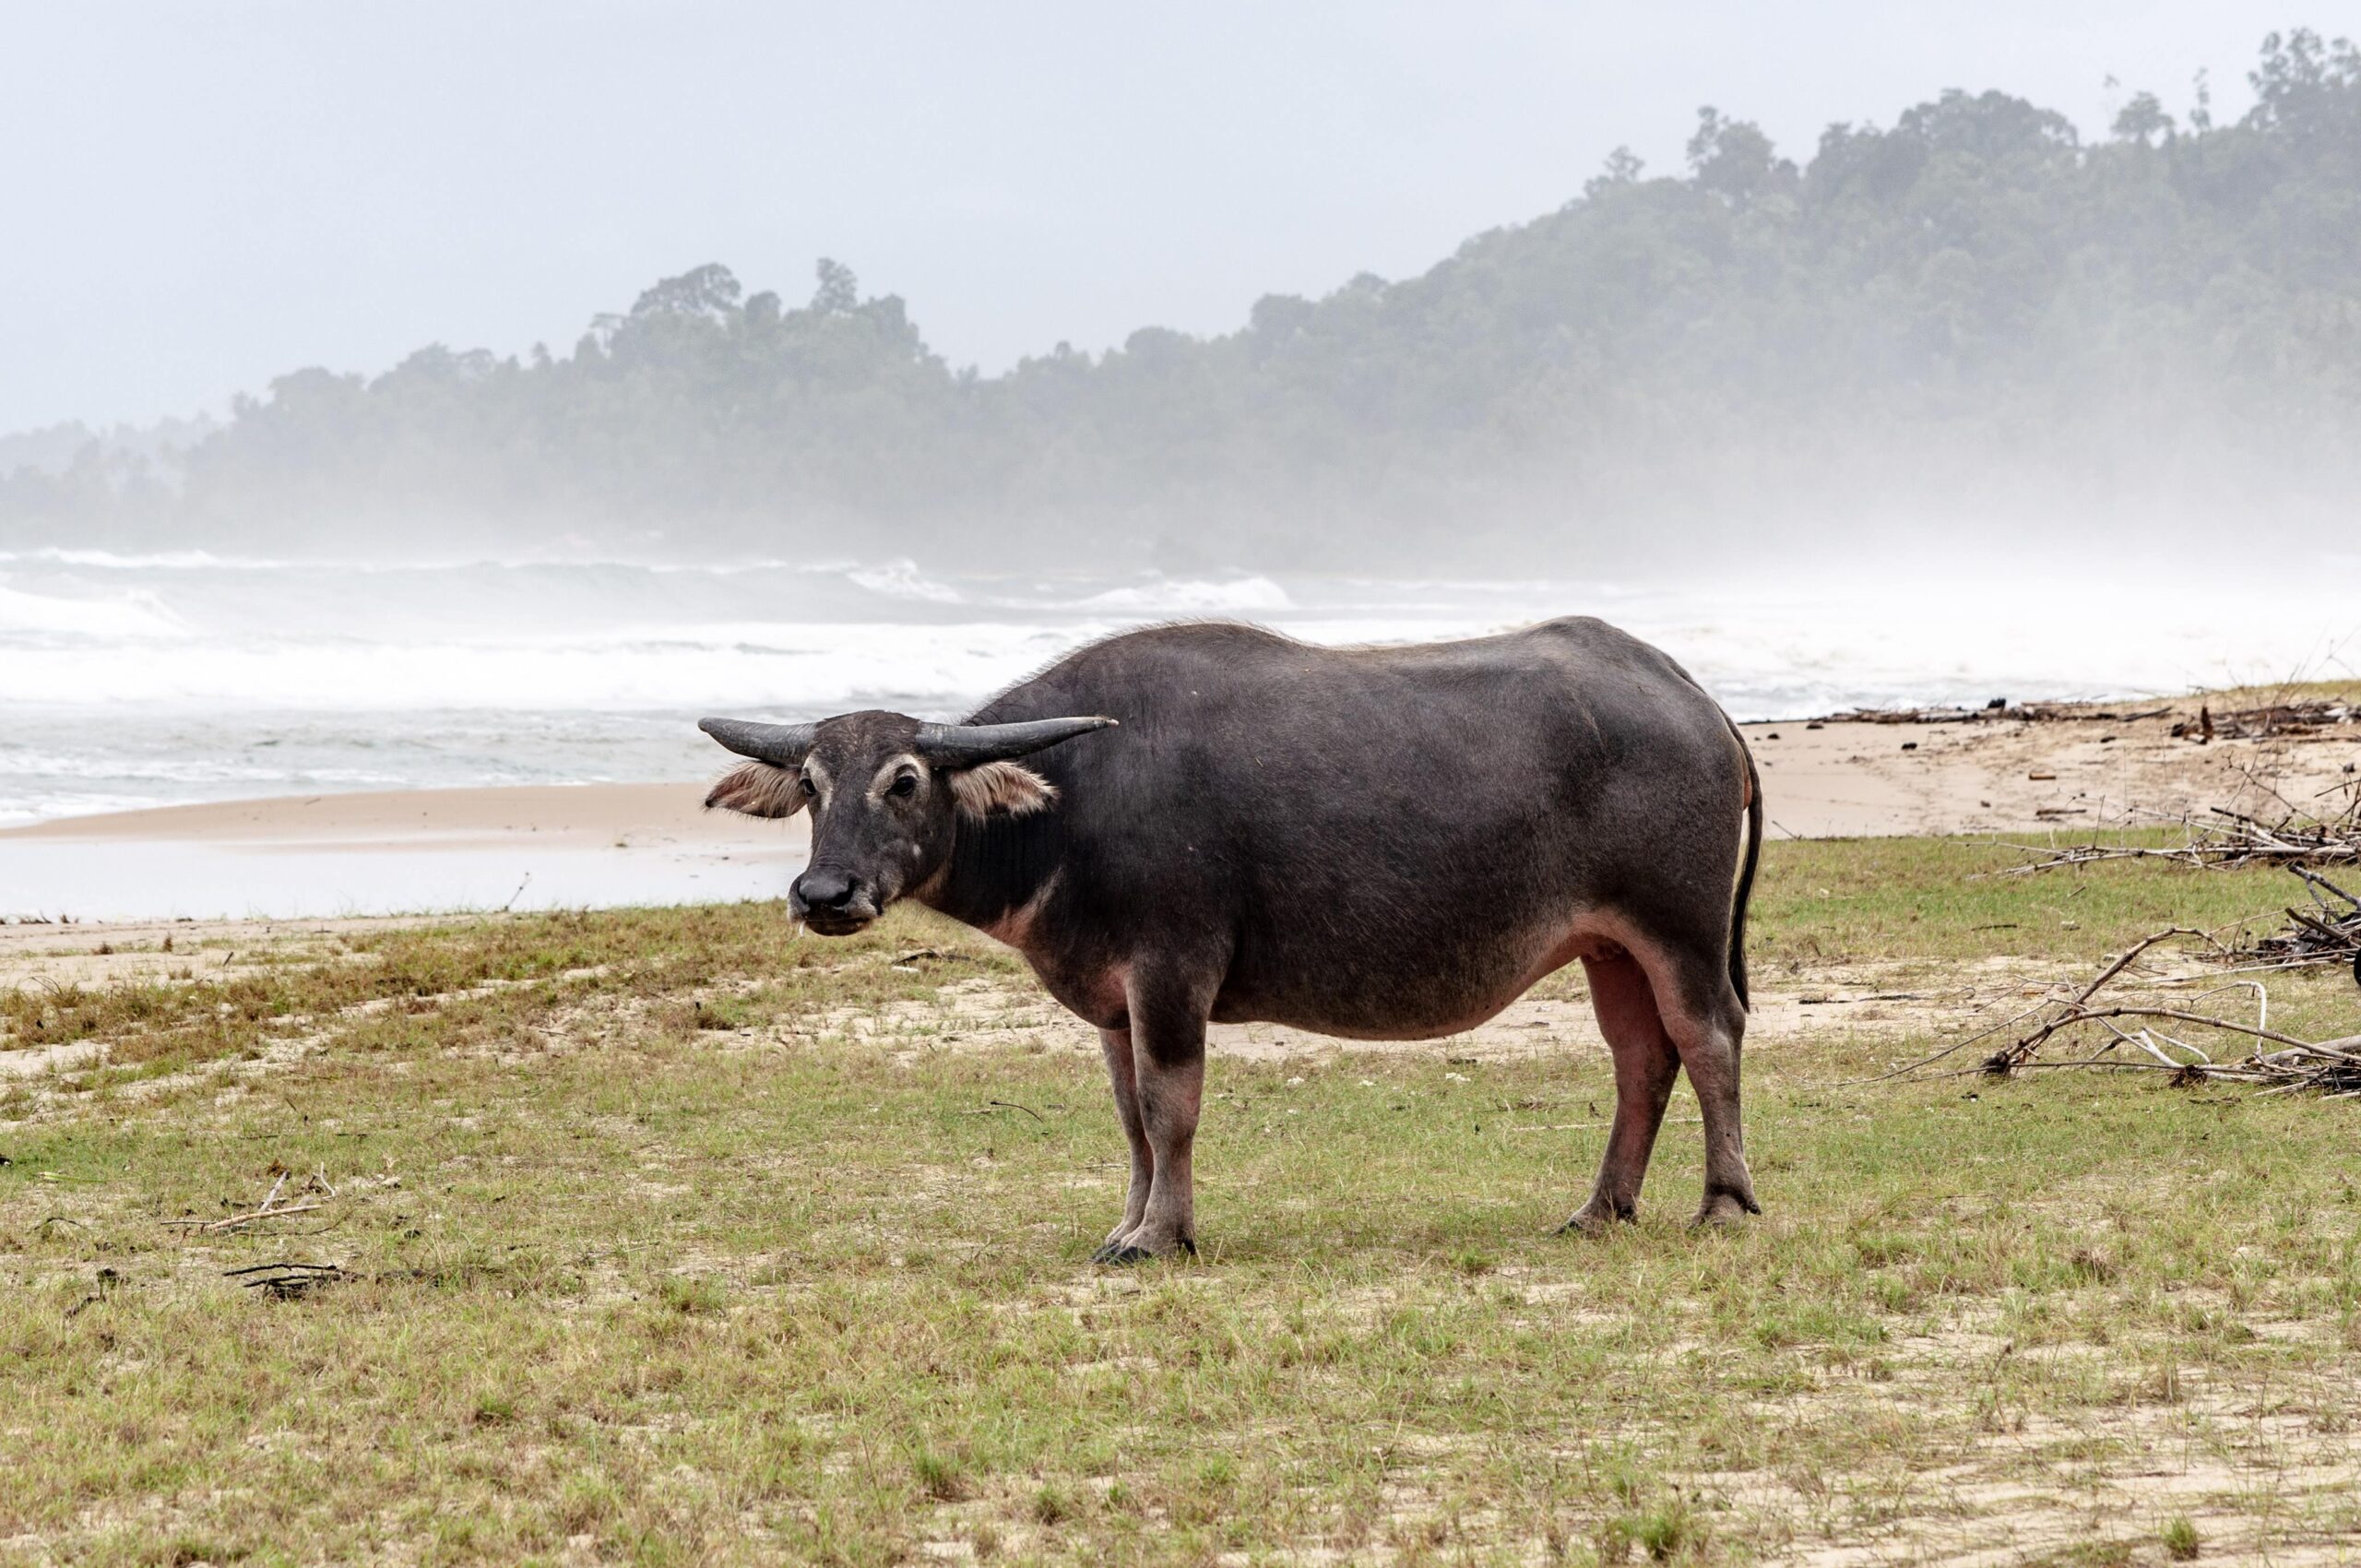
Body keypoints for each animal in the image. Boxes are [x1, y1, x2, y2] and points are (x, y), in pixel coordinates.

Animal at [708, 623, 1765, 1265]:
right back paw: (1601, 1208)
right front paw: (1128, 1221)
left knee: (1709, 1038)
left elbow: (1170, 1106)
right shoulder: (1113, 999)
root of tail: (1692, 697)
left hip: (1679, 929)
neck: (1074, 803)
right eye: (810, 782)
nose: (825, 893)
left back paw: (1722, 1202)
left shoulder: (1173, 971)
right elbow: (1130, 1117)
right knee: (1640, 1058)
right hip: (1608, 945)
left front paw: (1161, 1236)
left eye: (904, 779)